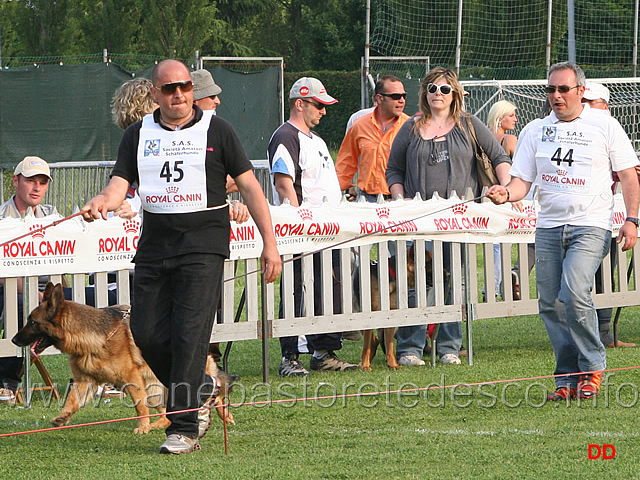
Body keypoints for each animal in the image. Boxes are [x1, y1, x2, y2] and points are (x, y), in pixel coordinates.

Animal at [11, 284, 235, 434]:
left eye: (32, 322)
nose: (13, 339)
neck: (92, 340)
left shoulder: (132, 379)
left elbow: (139, 405)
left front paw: (142, 427)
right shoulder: (84, 381)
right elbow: (72, 400)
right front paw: (63, 417)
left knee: (214, 390)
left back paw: (224, 414)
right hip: (155, 387)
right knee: (166, 412)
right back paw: (160, 424)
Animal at [352, 244, 438, 372]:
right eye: (430, 262)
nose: (448, 275)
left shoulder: (390, 317)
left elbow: (390, 345)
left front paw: (392, 364)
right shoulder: (370, 317)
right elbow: (366, 346)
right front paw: (366, 365)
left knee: (375, 341)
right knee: (371, 341)